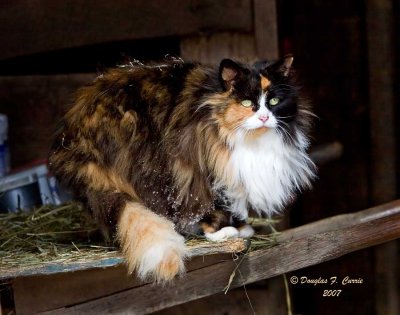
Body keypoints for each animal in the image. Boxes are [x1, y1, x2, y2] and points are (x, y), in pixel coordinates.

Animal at [48, 55, 316, 284]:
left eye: (274, 101)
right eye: (247, 102)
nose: (263, 118)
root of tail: (73, 137)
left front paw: (241, 227)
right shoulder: (205, 170)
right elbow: (212, 205)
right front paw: (223, 232)